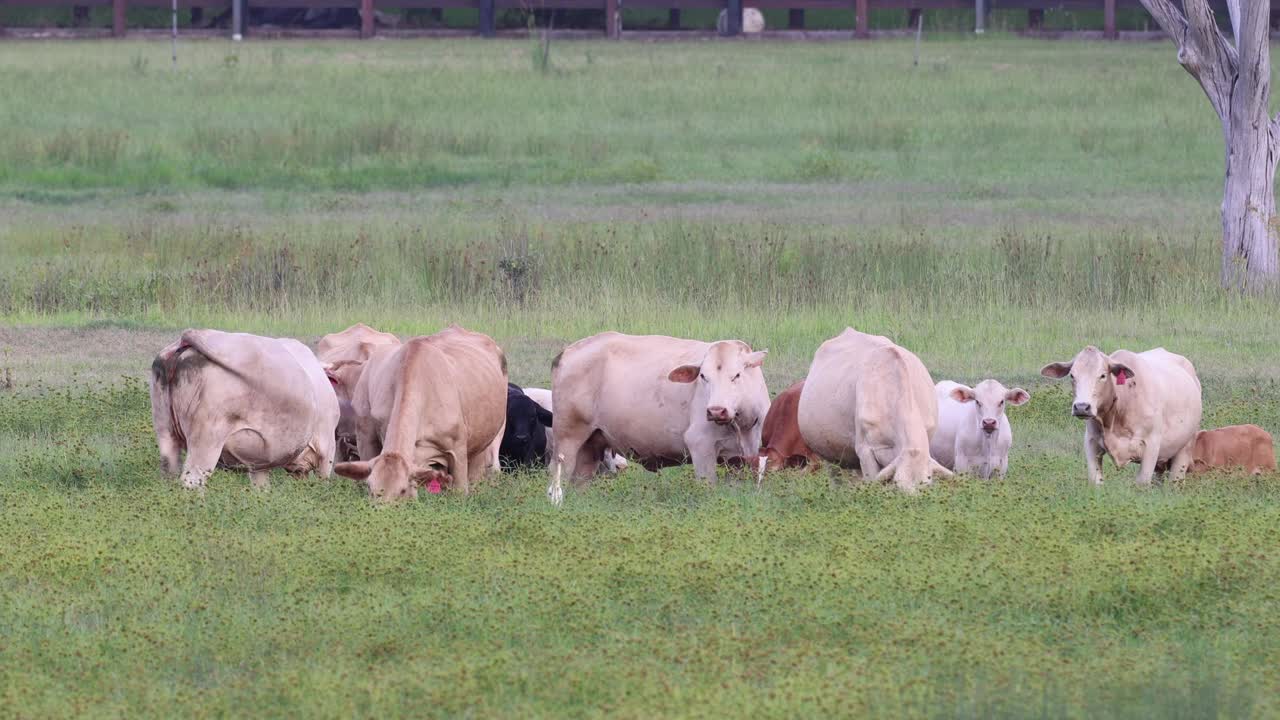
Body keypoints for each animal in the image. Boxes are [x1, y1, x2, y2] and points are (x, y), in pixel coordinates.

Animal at [148, 326, 340, 486]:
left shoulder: (261, 463)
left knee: (169, 471)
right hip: (207, 438)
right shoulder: (327, 447)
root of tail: (189, 339)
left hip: (165, 431)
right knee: (192, 481)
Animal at [542, 333, 762, 504]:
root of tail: (567, 351)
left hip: (591, 445)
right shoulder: (701, 447)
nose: (716, 410)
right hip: (567, 439)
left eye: (737, 375)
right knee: (558, 474)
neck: (741, 425)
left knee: (580, 479)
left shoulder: (744, 457)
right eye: (703, 376)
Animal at [1039, 345, 1198, 484]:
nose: (1082, 407)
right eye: (1072, 375)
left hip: (1184, 450)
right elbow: (1095, 480)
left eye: (1103, 375)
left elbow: (1142, 482)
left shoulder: (1151, 445)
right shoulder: (1091, 442)